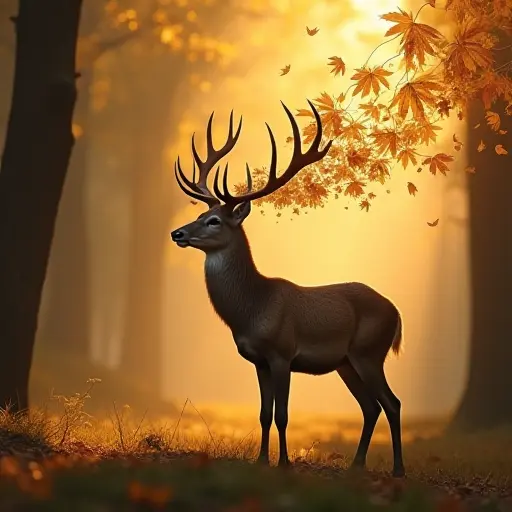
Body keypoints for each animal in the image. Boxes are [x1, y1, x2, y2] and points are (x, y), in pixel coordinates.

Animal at [170, 100, 406, 476]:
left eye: (214, 221)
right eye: (200, 215)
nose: (177, 233)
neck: (253, 309)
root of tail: (397, 312)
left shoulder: (282, 352)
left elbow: (282, 414)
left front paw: (283, 463)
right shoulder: (258, 361)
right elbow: (264, 415)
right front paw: (261, 460)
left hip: (370, 351)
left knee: (392, 402)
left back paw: (398, 469)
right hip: (346, 362)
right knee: (371, 406)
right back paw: (356, 466)